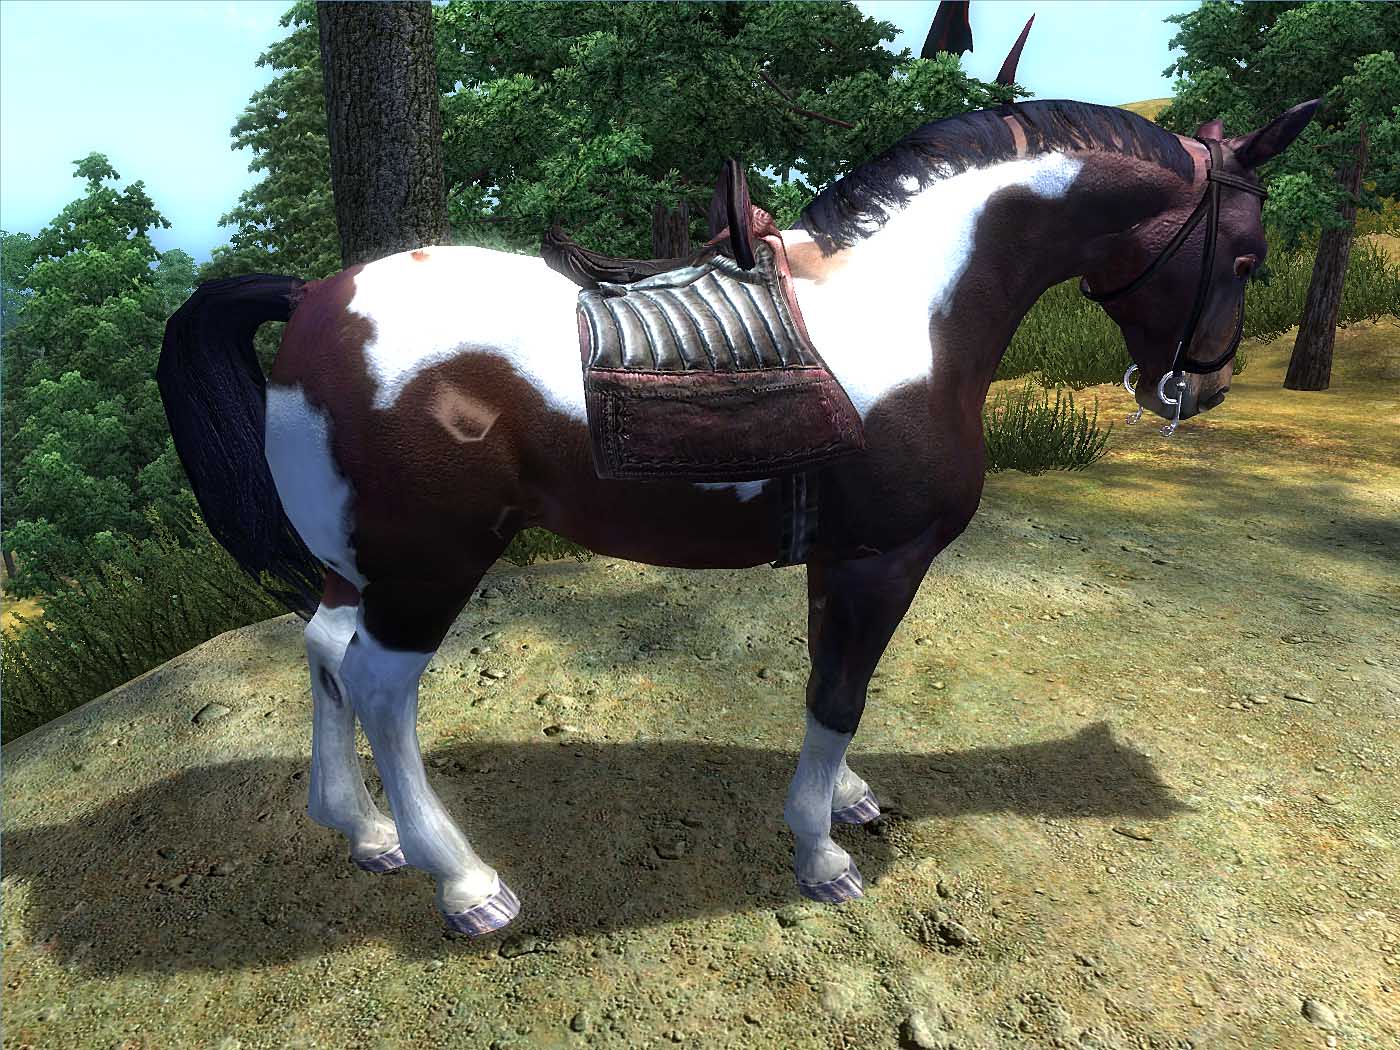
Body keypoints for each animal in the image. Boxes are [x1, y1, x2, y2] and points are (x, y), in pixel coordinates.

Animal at [158, 96, 1320, 936]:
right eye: (1246, 256)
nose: (1198, 389)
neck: (911, 303)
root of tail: (312, 302)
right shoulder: (882, 560)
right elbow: (839, 694)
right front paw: (821, 855)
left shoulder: (839, 560)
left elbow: (829, 691)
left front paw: (843, 800)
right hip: (428, 569)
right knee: (379, 688)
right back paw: (467, 885)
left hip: (359, 562)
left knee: (321, 647)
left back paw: (361, 833)